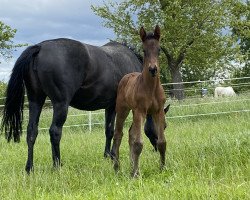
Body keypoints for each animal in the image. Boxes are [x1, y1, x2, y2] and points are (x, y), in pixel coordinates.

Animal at [0, 38, 158, 173]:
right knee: (55, 131)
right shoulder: (118, 107)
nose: (157, 148)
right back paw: (57, 165)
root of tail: (40, 47)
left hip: (36, 101)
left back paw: (29, 168)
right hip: (60, 104)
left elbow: (108, 131)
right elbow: (115, 131)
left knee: (32, 132)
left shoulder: (109, 107)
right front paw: (112, 156)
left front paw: (107, 155)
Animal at [112, 25, 167, 177]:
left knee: (130, 134)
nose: (153, 69)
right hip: (123, 110)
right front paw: (136, 174)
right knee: (118, 134)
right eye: (144, 50)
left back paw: (131, 165)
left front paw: (163, 168)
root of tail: (127, 76)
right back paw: (117, 168)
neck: (151, 88)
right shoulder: (140, 111)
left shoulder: (158, 111)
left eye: (159, 49)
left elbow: (162, 142)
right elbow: (138, 143)